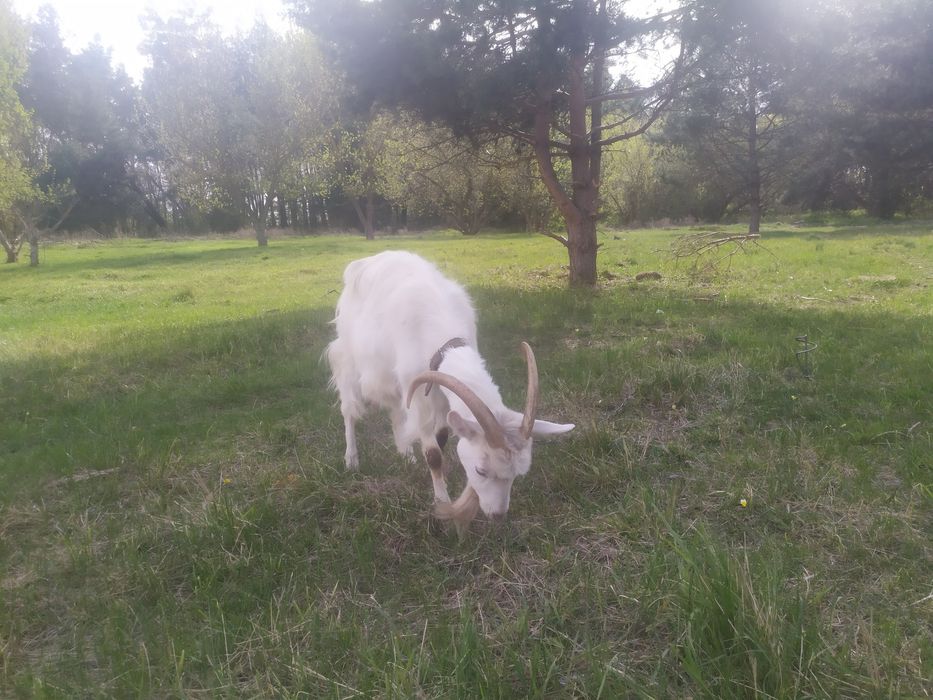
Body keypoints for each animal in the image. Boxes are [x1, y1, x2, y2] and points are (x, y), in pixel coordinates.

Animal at [326, 251, 574, 530]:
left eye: (517, 474)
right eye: (480, 470)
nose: (498, 516)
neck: (442, 341)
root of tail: (365, 261)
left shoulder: (442, 390)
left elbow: (443, 437)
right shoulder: (419, 392)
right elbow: (433, 453)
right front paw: (441, 501)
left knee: (395, 409)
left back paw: (406, 454)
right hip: (349, 356)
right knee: (349, 409)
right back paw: (351, 459)